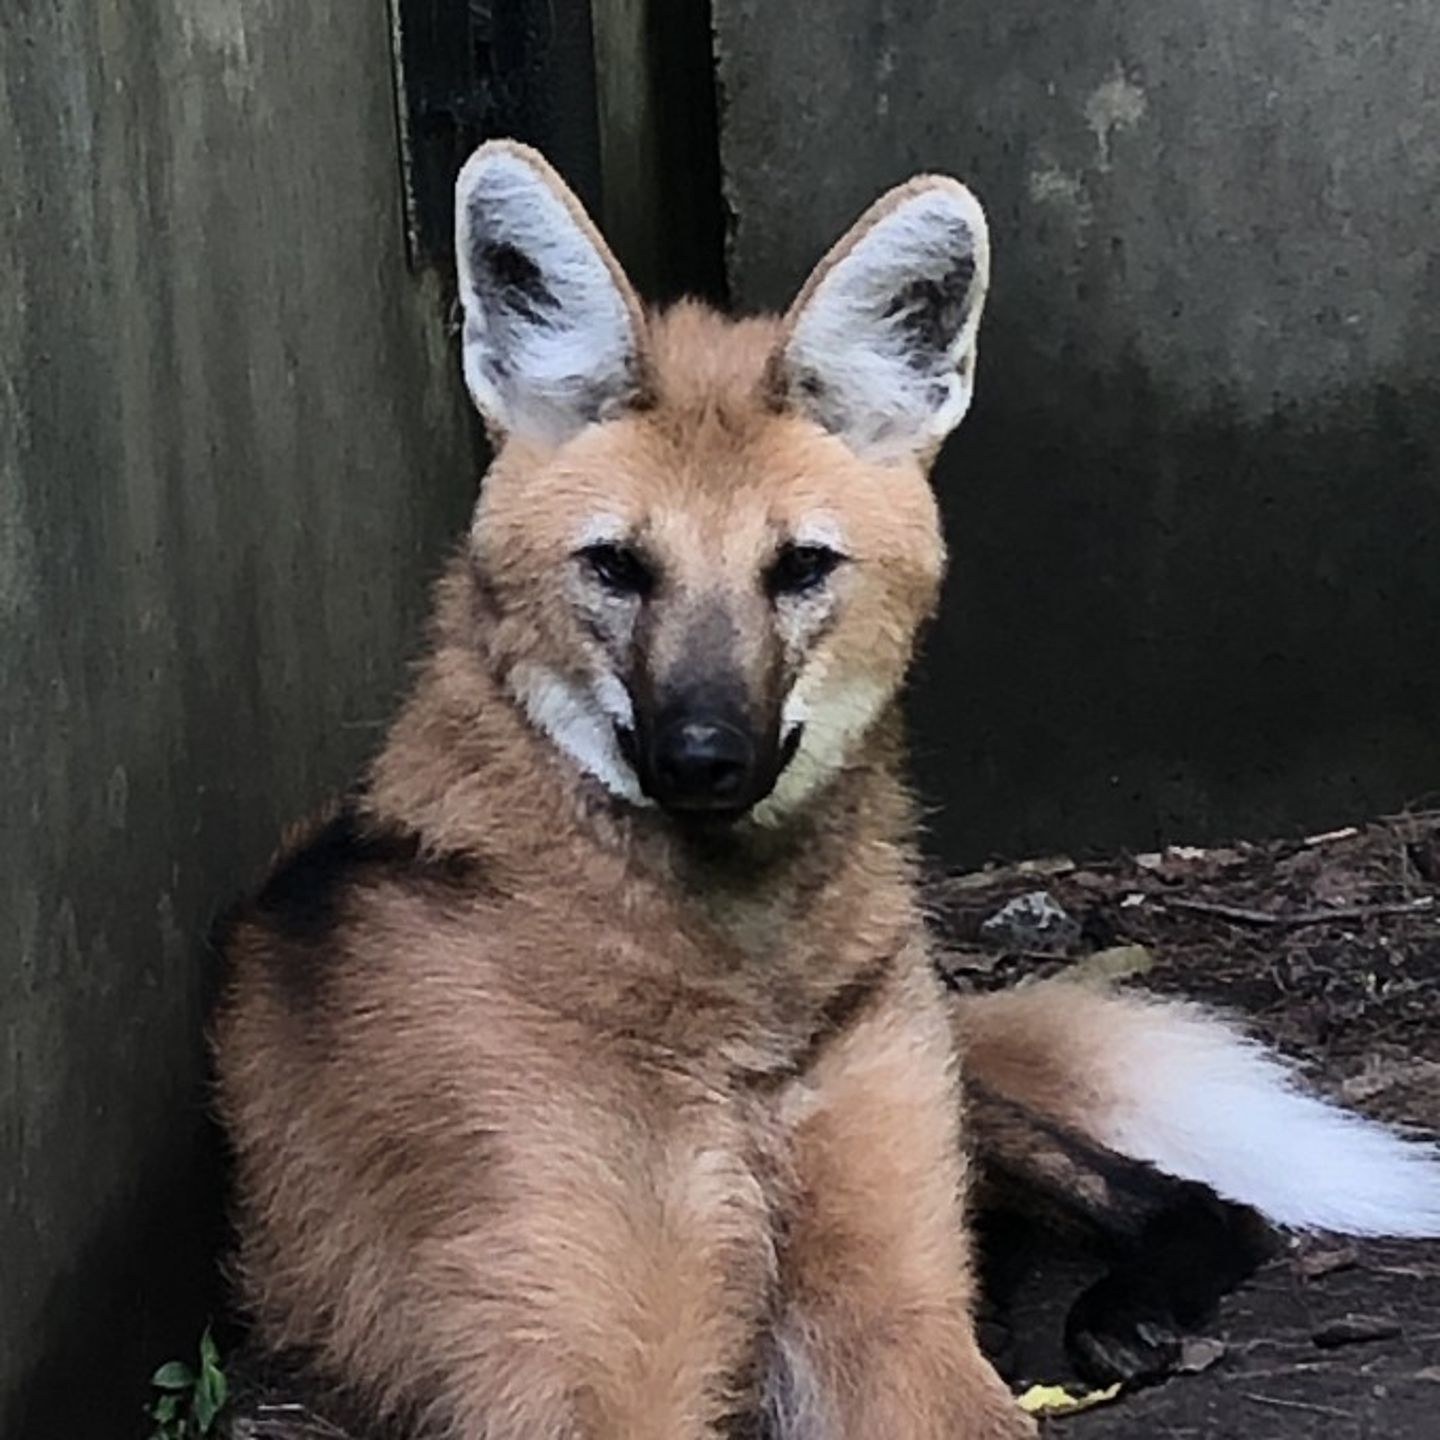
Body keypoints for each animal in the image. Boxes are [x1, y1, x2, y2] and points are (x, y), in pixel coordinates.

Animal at [213, 141, 1440, 1438]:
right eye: (617, 568)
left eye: (799, 567)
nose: (704, 757)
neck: (742, 1001)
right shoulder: (590, 1374)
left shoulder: (887, 1305)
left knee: (1197, 1202)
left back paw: (1125, 1308)